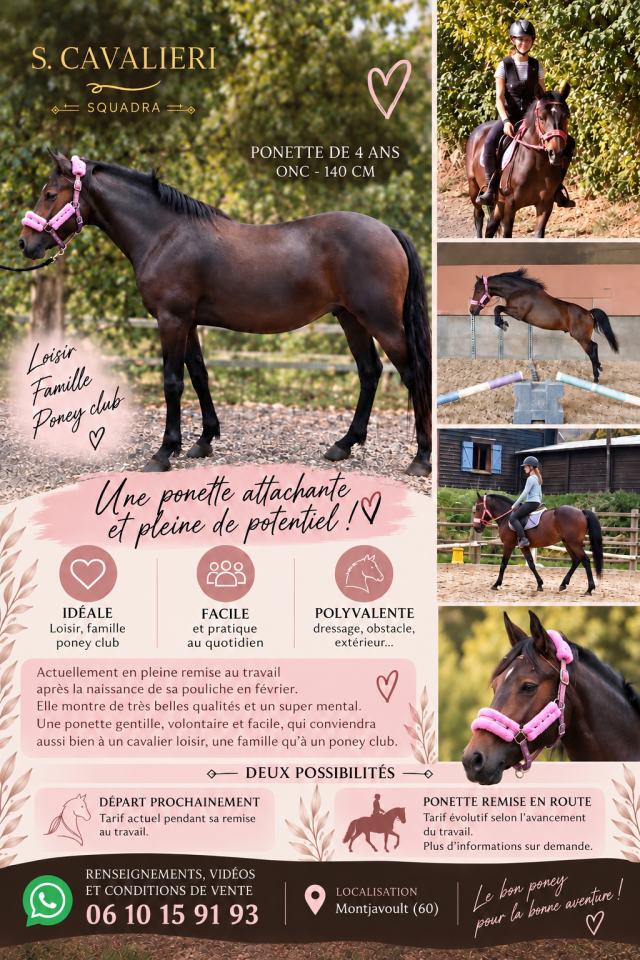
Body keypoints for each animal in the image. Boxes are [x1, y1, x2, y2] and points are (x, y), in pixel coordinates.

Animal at [18, 151, 432, 477]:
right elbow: (199, 376)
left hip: (382, 323)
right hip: (350, 318)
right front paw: (203, 441)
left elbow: (173, 382)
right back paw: (343, 445)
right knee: (370, 372)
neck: (164, 234)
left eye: (50, 194)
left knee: (413, 374)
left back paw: (421, 458)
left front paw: (163, 453)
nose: (25, 243)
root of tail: (388, 231)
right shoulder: (188, 324)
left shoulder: (171, 320)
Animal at [465, 86, 572, 238]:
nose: (556, 153)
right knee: (478, 216)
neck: (537, 166)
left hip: (499, 202)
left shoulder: (545, 204)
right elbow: (507, 234)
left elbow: (539, 235)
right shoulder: (511, 205)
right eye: (541, 117)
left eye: (566, 116)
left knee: (491, 225)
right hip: (474, 188)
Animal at [470, 269, 619, 383]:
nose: (472, 311)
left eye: (478, 291)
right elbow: (498, 309)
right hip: (581, 337)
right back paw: (599, 367)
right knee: (595, 346)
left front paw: (503, 324)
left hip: (581, 339)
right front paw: (502, 323)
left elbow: (497, 308)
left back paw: (596, 378)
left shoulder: (519, 314)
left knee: (592, 352)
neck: (519, 291)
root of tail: (589, 313)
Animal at [473, 492, 603, 594]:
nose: (476, 528)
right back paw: (563, 584)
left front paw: (496, 584)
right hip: (567, 543)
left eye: (478, 509)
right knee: (576, 561)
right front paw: (540, 585)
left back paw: (589, 589)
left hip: (574, 543)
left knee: (585, 561)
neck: (507, 516)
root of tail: (581, 512)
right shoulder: (524, 547)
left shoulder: (508, 544)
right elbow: (531, 564)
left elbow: (503, 564)